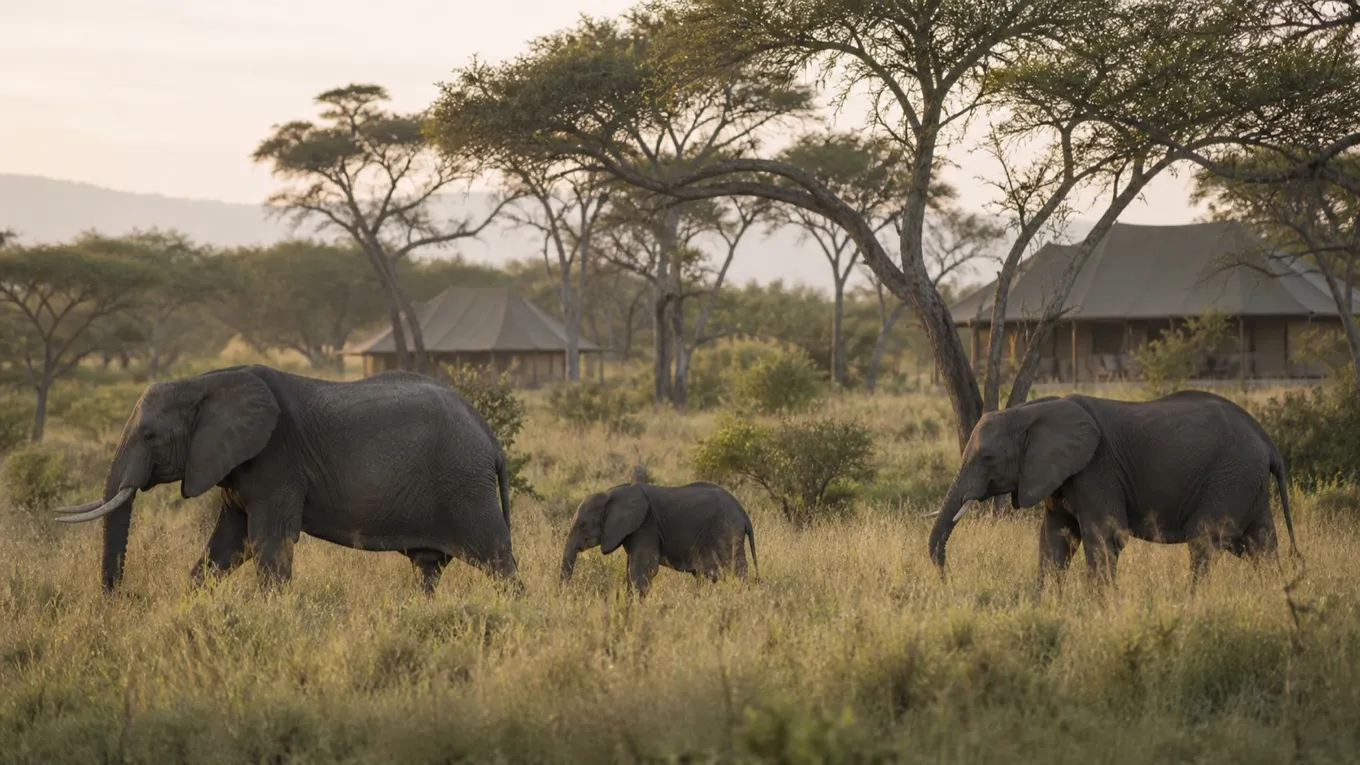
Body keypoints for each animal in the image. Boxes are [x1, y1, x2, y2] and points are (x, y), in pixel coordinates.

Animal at [53, 364, 520, 594]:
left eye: (150, 436)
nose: (122, 597)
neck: (203, 382)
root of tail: (490, 439)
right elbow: (228, 546)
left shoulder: (275, 459)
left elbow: (268, 541)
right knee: (429, 568)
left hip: (465, 484)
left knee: (499, 561)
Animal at [559, 481, 757, 596]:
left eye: (583, 525)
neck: (609, 493)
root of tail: (744, 514)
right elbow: (631, 568)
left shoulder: (647, 525)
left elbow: (644, 569)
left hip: (727, 533)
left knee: (736, 570)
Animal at [926, 391, 1297, 590]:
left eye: (987, 458)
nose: (946, 581)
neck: (1031, 411)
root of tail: (1268, 442)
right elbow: (1055, 541)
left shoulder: (1096, 469)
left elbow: (1105, 538)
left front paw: (1098, 609)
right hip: (1247, 482)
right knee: (1260, 547)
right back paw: (1276, 594)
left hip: (1230, 476)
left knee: (1205, 542)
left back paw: (1193, 602)